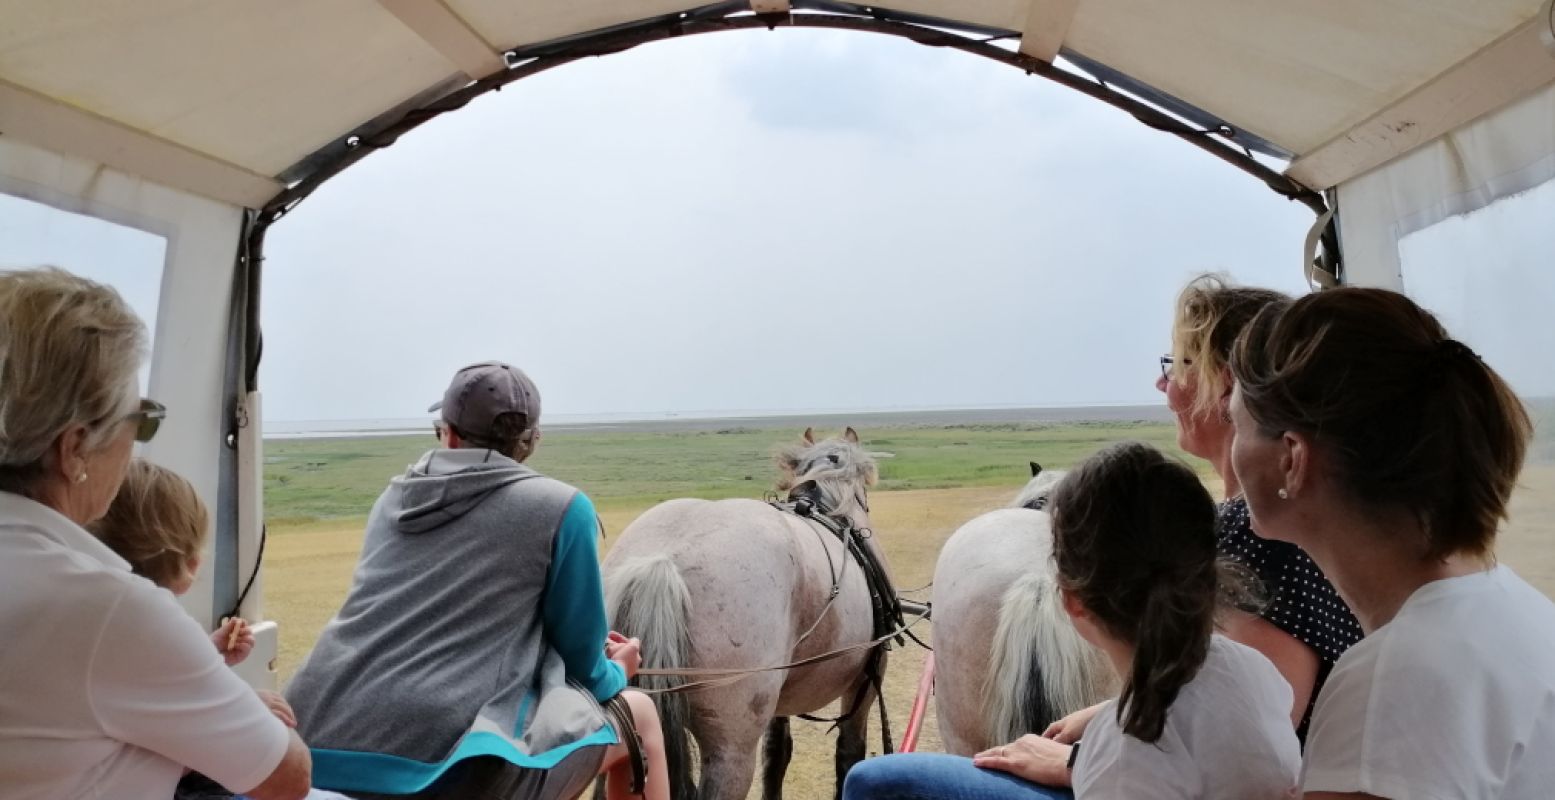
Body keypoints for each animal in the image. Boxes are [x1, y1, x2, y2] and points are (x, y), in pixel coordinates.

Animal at [603, 429, 895, 796]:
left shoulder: (781, 699)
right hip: (731, 750)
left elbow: (776, 754)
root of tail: (661, 560)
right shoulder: (866, 681)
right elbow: (849, 753)